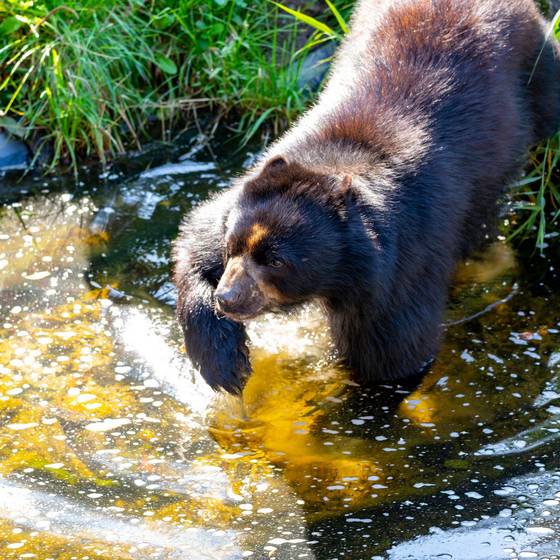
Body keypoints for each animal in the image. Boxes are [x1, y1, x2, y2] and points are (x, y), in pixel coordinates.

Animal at [173, 0, 560, 394]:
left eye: (277, 262)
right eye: (232, 245)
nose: (227, 298)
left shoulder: (400, 265)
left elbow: (393, 355)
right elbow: (195, 242)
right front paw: (224, 363)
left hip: (538, 78)